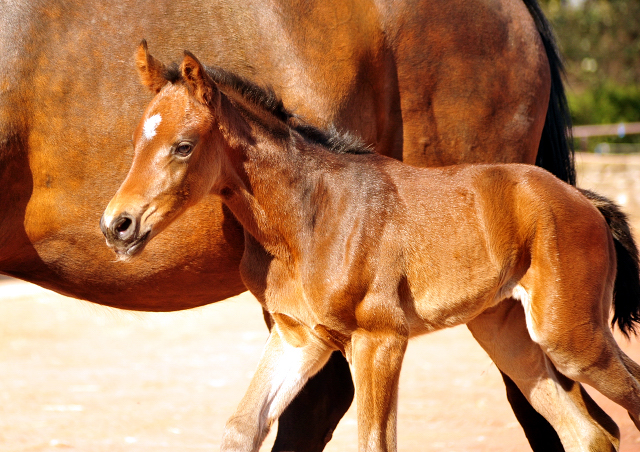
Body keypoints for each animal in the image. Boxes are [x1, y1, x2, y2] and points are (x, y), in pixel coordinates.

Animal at [101, 44, 640, 450]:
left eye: (184, 146)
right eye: (137, 143)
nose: (117, 225)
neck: (312, 216)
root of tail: (586, 200)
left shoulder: (379, 340)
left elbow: (373, 443)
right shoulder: (301, 337)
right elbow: (242, 426)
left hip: (570, 338)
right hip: (508, 333)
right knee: (589, 434)